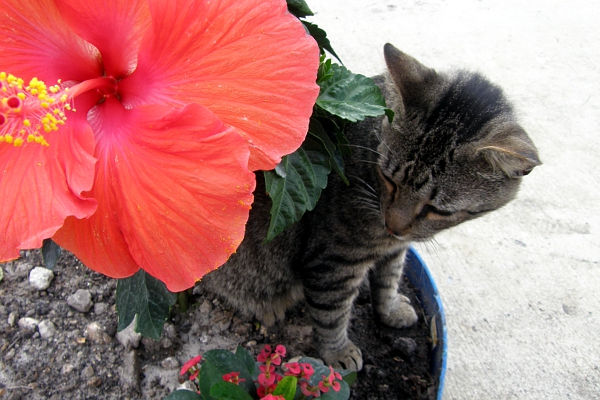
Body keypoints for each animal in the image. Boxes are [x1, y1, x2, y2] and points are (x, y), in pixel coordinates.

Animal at [199, 42, 540, 370]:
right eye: (390, 179)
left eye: (437, 209)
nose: (394, 225)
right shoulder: (334, 260)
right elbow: (332, 312)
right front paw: (338, 352)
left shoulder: (396, 249)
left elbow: (389, 279)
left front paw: (389, 309)